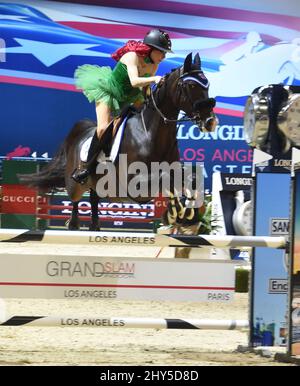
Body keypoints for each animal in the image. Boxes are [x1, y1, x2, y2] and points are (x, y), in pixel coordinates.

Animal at [19, 52, 217, 231]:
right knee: (75, 201)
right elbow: (166, 177)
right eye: (191, 85)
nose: (210, 122)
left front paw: (186, 212)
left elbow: (187, 178)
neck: (149, 134)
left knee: (93, 199)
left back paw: (95, 226)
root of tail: (79, 131)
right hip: (75, 183)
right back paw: (74, 223)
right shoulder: (136, 183)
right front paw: (176, 212)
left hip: (97, 185)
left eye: (207, 84)